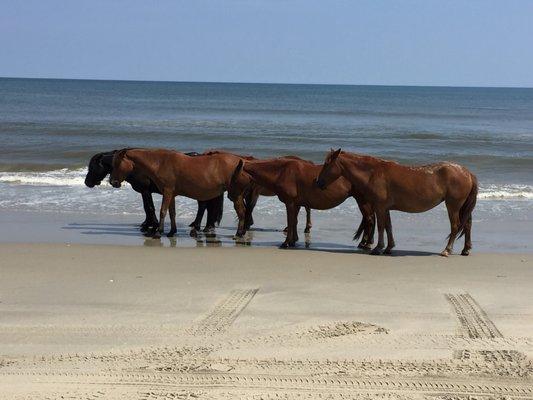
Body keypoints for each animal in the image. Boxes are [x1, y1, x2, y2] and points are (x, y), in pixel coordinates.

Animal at [82, 148, 222, 233]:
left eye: (92, 167)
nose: (87, 183)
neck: (136, 168)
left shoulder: (145, 191)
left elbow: (148, 207)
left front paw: (150, 225)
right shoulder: (145, 192)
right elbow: (148, 207)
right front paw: (148, 224)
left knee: (203, 206)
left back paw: (198, 226)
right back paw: (204, 226)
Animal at [111, 149, 244, 238]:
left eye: (117, 163)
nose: (112, 182)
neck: (159, 163)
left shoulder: (167, 192)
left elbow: (163, 211)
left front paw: (158, 232)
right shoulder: (172, 194)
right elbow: (172, 213)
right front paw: (171, 232)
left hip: (235, 195)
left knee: (241, 212)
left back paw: (238, 234)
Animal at [229, 158, 374, 248]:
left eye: (234, 177)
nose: (230, 196)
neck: (281, 172)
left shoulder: (290, 203)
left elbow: (290, 221)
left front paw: (286, 243)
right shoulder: (296, 204)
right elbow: (294, 222)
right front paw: (293, 241)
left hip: (363, 201)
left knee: (370, 220)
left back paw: (366, 244)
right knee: (369, 220)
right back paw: (365, 243)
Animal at [316, 149, 478, 256]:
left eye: (327, 164)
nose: (318, 182)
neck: (373, 173)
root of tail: (467, 172)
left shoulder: (380, 207)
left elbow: (381, 227)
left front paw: (378, 248)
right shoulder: (385, 208)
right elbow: (389, 227)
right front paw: (389, 248)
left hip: (453, 206)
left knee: (455, 225)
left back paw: (447, 250)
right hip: (462, 207)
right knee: (467, 225)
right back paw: (465, 249)